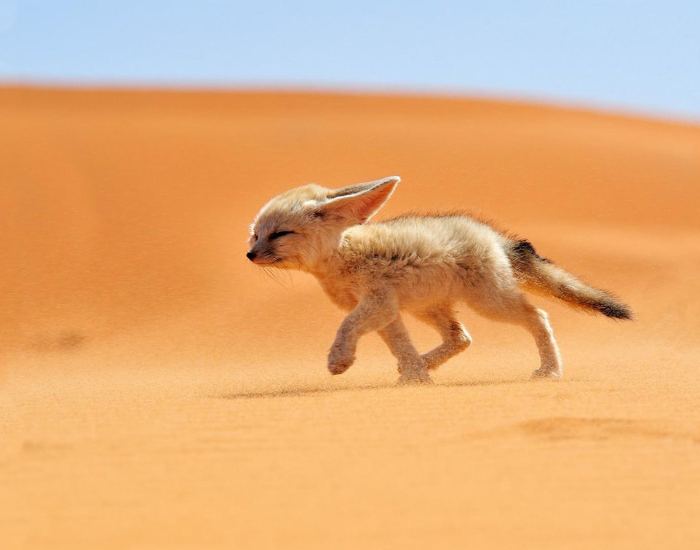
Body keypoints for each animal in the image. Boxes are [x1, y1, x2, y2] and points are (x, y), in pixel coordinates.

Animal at [247, 176, 632, 385]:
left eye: (280, 234)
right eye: (255, 235)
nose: (250, 255)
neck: (343, 255)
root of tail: (493, 235)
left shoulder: (376, 303)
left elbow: (346, 326)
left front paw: (339, 360)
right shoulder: (387, 311)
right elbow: (400, 345)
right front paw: (416, 377)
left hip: (490, 303)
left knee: (538, 316)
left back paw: (550, 370)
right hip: (428, 308)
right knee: (461, 338)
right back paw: (423, 364)